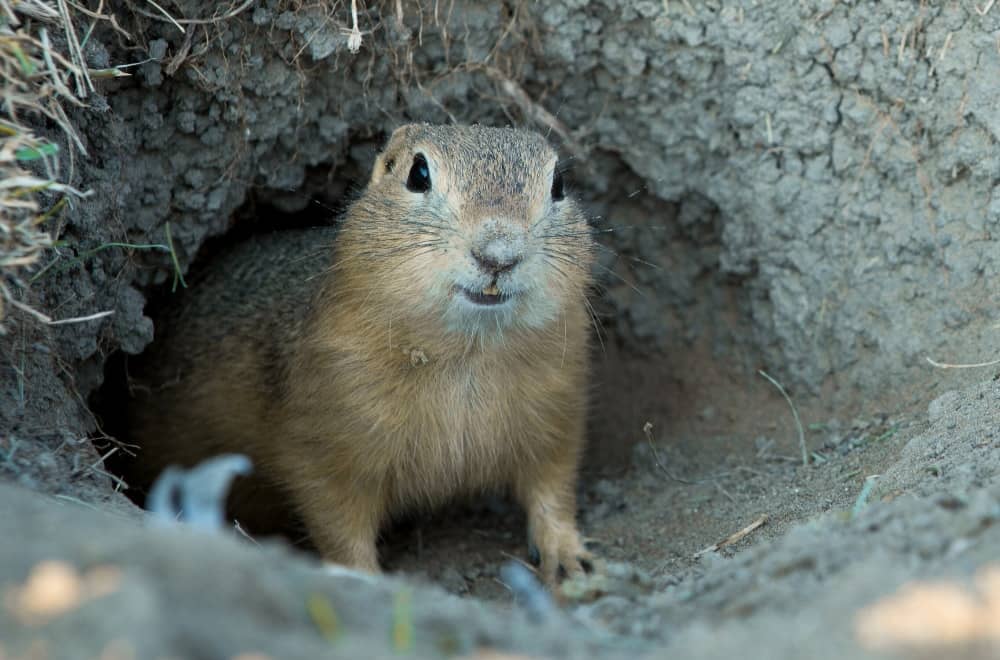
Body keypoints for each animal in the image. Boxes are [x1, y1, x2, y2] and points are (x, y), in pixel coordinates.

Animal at [125, 122, 592, 584]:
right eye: (418, 174)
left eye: (558, 184)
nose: (498, 254)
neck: (467, 354)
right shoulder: (326, 439)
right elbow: (338, 520)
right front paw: (364, 579)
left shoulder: (557, 410)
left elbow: (554, 484)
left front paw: (570, 556)